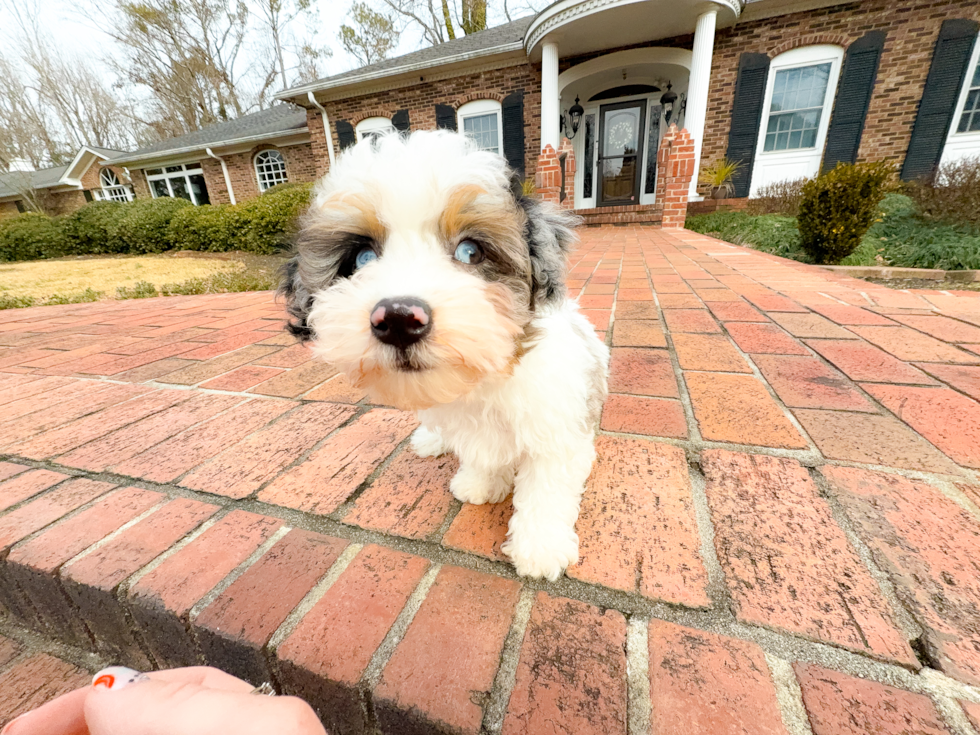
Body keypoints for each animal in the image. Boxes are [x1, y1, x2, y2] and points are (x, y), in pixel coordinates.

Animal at [280, 131, 608, 580]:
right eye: (360, 258)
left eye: (471, 252)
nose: (398, 319)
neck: (486, 380)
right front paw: (482, 480)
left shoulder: (559, 430)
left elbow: (547, 488)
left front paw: (540, 547)